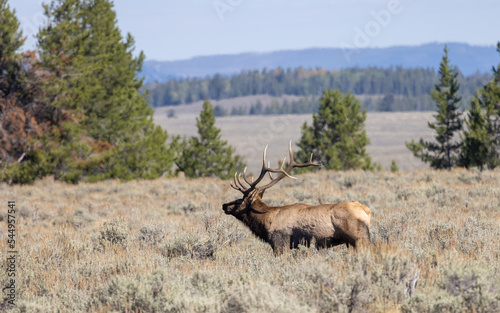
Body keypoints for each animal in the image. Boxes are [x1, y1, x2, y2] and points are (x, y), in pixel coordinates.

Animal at [223, 141, 372, 254]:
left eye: (239, 200)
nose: (224, 205)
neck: (266, 221)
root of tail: (366, 210)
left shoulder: (280, 242)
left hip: (359, 238)